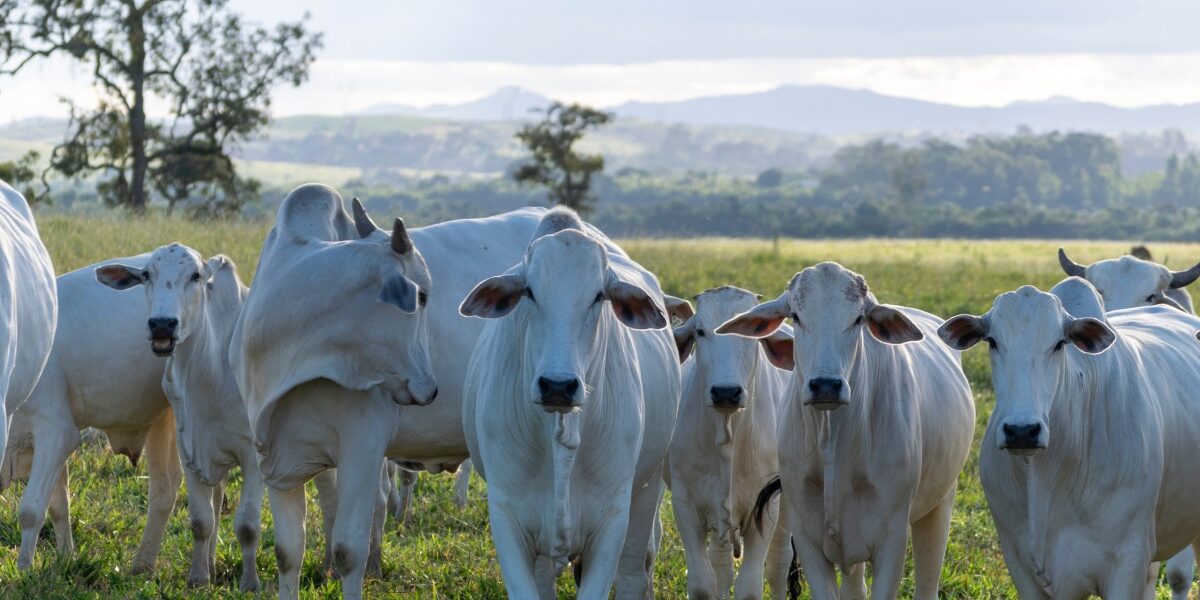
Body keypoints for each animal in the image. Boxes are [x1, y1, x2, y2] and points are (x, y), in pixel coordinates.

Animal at [234, 183, 544, 600]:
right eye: (422, 296)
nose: (430, 388)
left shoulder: (362, 448)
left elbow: (349, 550)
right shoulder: (276, 455)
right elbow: (287, 553)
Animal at [460, 207, 681, 600]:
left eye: (598, 295)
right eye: (530, 292)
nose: (558, 386)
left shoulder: (611, 523)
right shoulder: (507, 519)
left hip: (646, 492)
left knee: (633, 574)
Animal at [667, 286, 796, 600]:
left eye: (753, 333)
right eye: (700, 331)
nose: (726, 392)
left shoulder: (766, 507)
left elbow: (750, 586)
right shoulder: (685, 504)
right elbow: (703, 582)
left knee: (779, 561)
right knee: (721, 564)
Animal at [720, 262, 974, 600]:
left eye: (857, 319)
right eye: (796, 316)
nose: (826, 385)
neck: (834, 446)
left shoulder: (892, 540)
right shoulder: (809, 540)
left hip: (940, 505)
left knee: (927, 582)